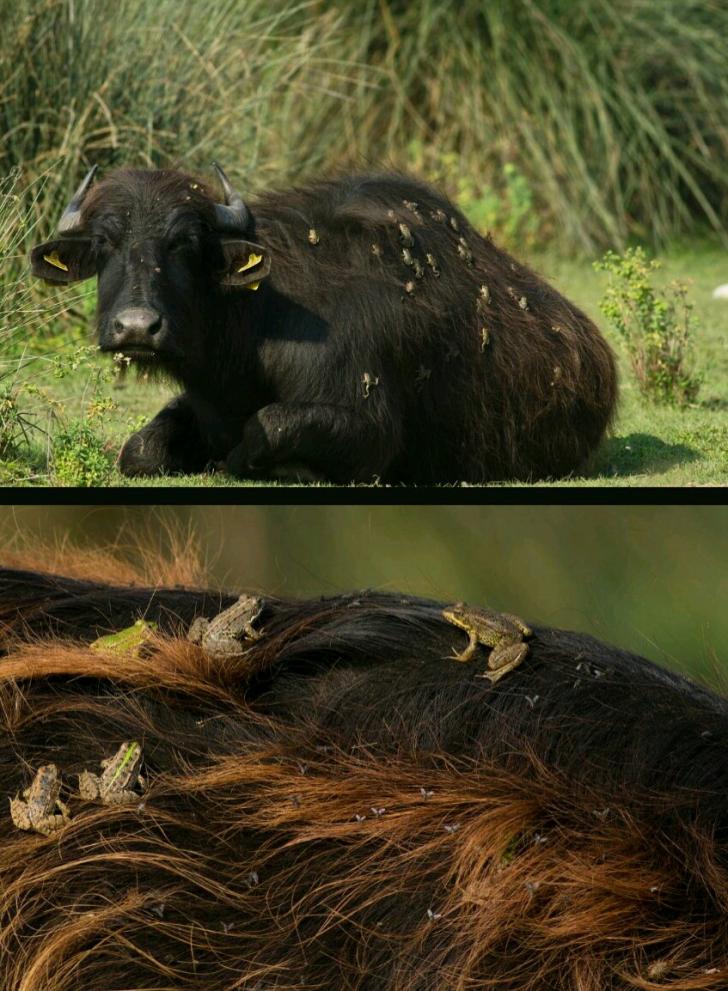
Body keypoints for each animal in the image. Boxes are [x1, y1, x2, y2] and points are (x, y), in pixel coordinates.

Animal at [31, 167, 616, 484]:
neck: (257, 322)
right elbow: (141, 450)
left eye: (186, 243)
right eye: (104, 243)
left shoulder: (369, 431)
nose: (137, 328)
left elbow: (263, 429)